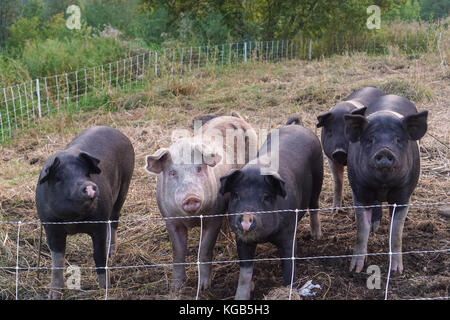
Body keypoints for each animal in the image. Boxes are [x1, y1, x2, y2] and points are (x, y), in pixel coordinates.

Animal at [35, 126, 134, 298]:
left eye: (87, 173)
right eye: (59, 178)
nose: (88, 185)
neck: (74, 220)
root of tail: (116, 131)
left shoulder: (99, 224)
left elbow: (99, 256)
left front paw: (105, 287)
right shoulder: (51, 227)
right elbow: (57, 261)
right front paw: (53, 295)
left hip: (124, 185)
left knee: (114, 220)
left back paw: (111, 253)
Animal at [144, 114, 256, 292]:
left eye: (199, 168)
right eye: (172, 173)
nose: (191, 197)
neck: (193, 219)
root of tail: (235, 117)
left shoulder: (213, 216)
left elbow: (205, 249)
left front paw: (204, 287)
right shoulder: (170, 220)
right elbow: (178, 252)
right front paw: (176, 288)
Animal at [219, 118, 322, 300]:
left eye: (266, 197)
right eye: (236, 195)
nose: (246, 216)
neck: (266, 237)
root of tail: (298, 126)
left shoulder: (289, 233)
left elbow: (289, 267)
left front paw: (289, 292)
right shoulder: (241, 239)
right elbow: (245, 273)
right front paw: (241, 297)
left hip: (319, 175)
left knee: (314, 205)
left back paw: (317, 237)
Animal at [344, 94, 428, 272]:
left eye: (398, 139)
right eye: (370, 140)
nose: (384, 151)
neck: (383, 185)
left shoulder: (403, 194)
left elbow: (396, 230)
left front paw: (396, 271)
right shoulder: (359, 191)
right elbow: (362, 228)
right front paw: (355, 269)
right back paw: (375, 227)